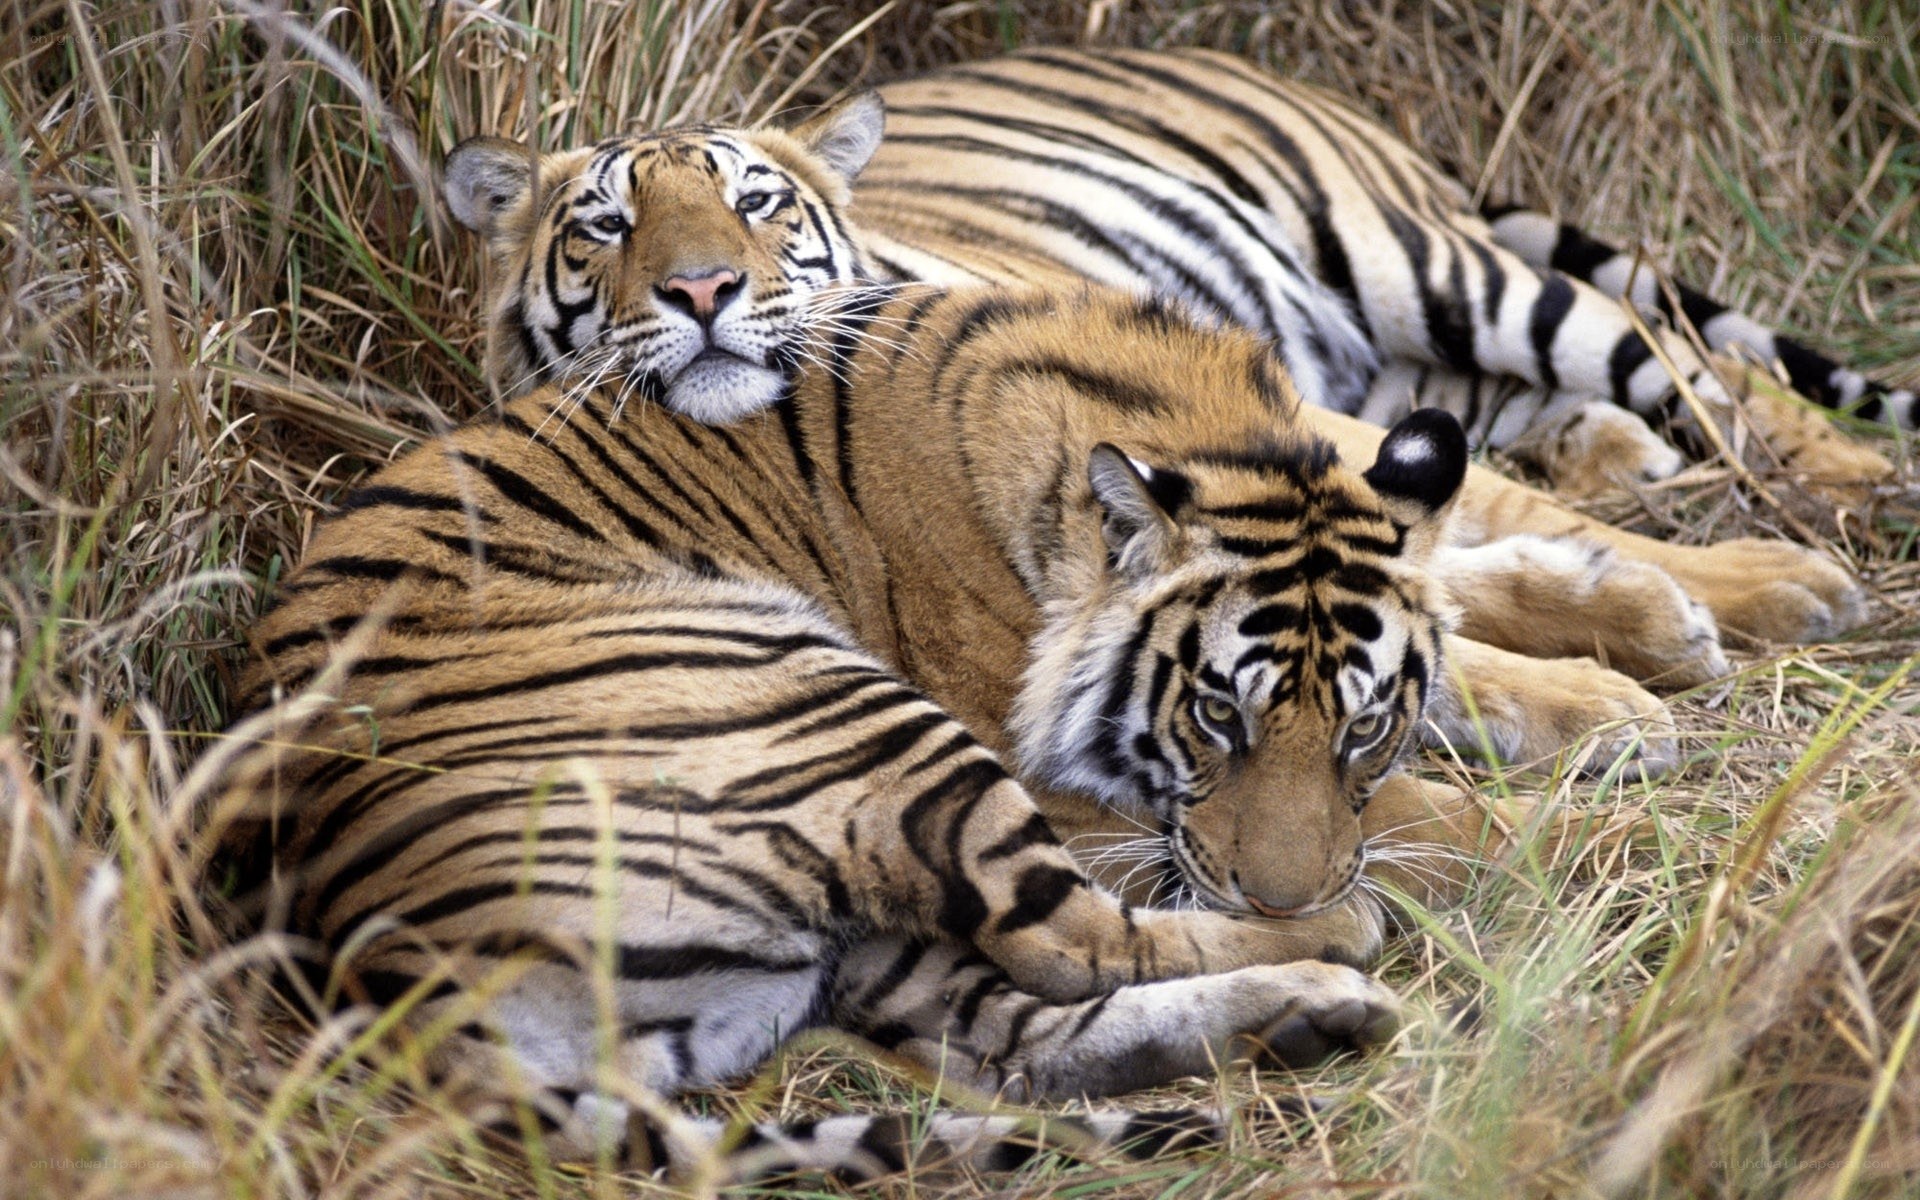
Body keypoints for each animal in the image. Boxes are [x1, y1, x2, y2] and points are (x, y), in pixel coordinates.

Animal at [852, 47, 1912, 497]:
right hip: (1390, 357)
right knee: (1509, 397)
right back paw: (1623, 456)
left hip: (1418, 263)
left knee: (1682, 354)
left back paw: (1849, 476)